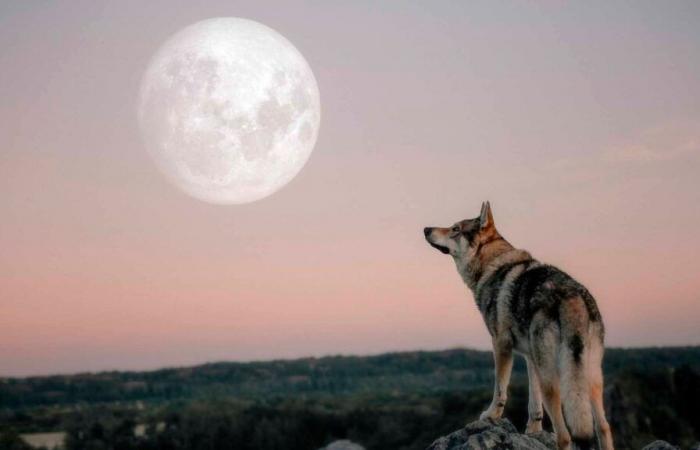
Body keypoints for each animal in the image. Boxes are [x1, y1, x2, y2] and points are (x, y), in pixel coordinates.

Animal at [422, 203, 612, 450]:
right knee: (604, 427)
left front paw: (491, 415)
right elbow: (534, 404)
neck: (491, 265)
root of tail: (572, 297)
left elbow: (500, 389)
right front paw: (533, 430)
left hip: (554, 380)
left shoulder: (501, 344)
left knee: (565, 436)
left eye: (455, 229)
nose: (426, 229)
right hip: (589, 379)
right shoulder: (530, 358)